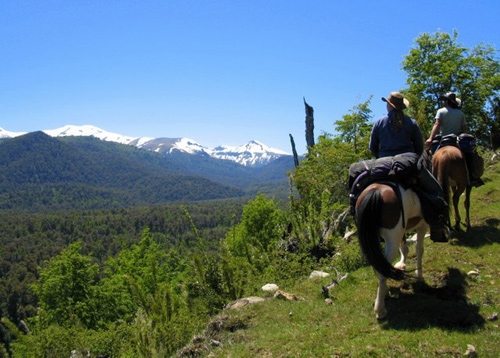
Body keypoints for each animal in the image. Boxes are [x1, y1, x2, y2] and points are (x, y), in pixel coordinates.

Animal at [356, 182, 430, 318]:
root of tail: (376, 192)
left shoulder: (403, 230)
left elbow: (405, 248)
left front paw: (401, 265)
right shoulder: (423, 225)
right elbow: (419, 249)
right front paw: (419, 276)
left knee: (379, 264)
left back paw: (383, 293)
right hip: (392, 238)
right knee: (383, 269)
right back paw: (380, 310)